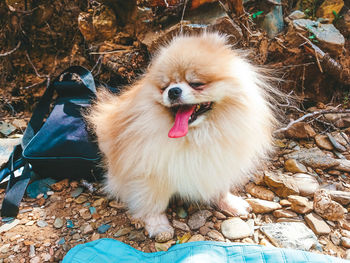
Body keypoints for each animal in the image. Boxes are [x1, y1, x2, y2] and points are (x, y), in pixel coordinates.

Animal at [87, 32, 276, 238]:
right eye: (164, 87)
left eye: (196, 84)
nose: (173, 91)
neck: (196, 136)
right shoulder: (151, 173)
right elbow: (154, 203)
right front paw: (158, 226)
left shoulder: (217, 163)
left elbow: (219, 188)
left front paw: (229, 203)